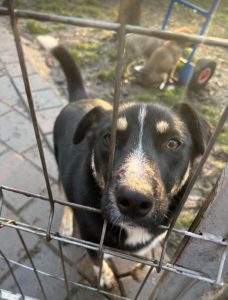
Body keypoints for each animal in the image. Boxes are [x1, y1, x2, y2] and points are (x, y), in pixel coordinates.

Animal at [53, 45, 208, 288]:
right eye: (109, 138)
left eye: (173, 143)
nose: (134, 200)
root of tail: (81, 99)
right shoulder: (91, 240)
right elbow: (97, 260)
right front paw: (105, 275)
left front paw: (140, 268)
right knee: (64, 196)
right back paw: (67, 225)